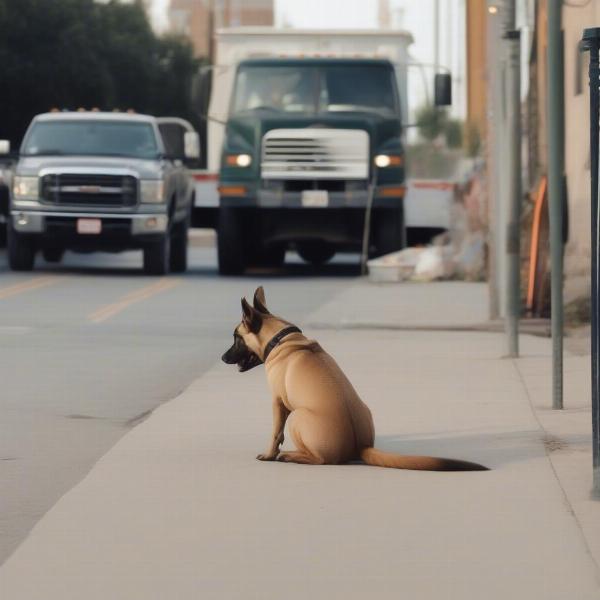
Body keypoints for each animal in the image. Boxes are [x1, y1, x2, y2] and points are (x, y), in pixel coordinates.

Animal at [223, 288, 490, 472]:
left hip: (298, 416)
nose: (223, 357)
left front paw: (269, 455)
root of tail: (358, 446)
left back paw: (290, 455)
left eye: (236, 338)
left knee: (319, 460)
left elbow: (275, 434)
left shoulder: (278, 404)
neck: (281, 339)